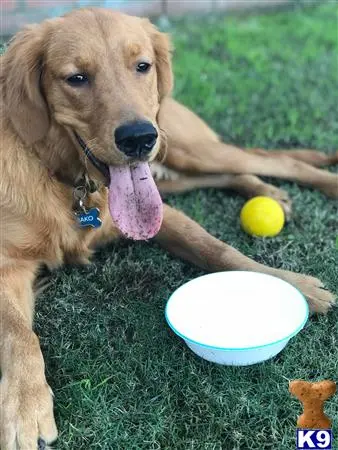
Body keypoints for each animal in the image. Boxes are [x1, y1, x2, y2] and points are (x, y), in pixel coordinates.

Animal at [0, 7, 336, 450]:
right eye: (76, 78)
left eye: (142, 66)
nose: (138, 138)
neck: (73, 183)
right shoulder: (7, 264)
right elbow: (18, 332)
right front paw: (25, 404)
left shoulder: (161, 212)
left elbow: (217, 248)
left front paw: (294, 286)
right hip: (173, 166)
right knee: (236, 171)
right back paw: (266, 192)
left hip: (184, 148)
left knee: (278, 160)